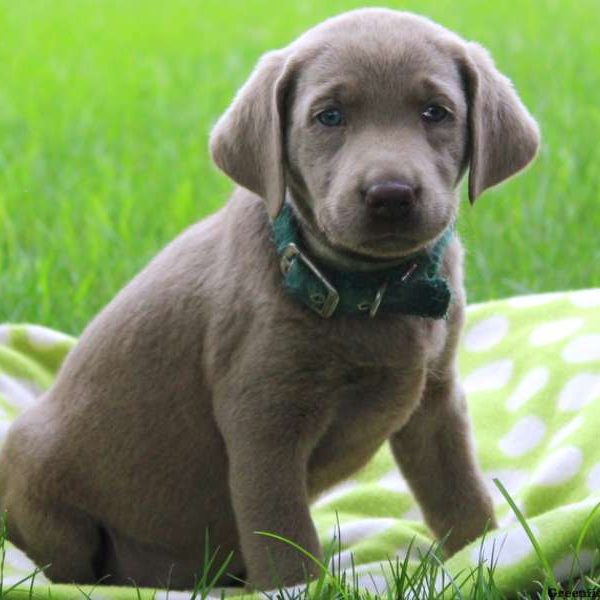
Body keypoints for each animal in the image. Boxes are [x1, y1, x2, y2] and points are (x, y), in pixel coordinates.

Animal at [0, 7, 540, 592]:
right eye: (329, 117)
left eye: (435, 112)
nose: (390, 194)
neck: (372, 290)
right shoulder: (264, 425)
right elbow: (284, 538)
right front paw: (304, 586)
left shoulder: (436, 402)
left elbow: (460, 495)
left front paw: (486, 559)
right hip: (39, 477)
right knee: (62, 564)